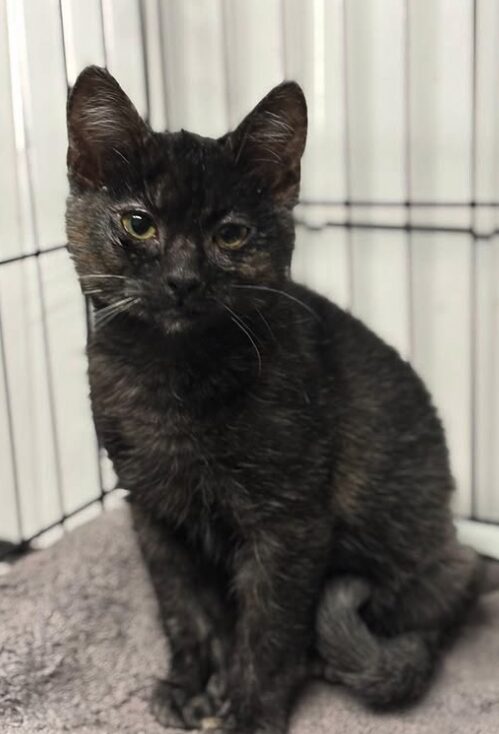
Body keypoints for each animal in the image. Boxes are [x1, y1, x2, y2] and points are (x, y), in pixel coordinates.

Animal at [65, 66, 480, 732]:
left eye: (231, 234)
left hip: (421, 548)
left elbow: (268, 628)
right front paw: (191, 685)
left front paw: (247, 710)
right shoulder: (152, 513)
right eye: (139, 223)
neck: (173, 383)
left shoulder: (288, 522)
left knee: (430, 612)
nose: (183, 280)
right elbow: (182, 609)